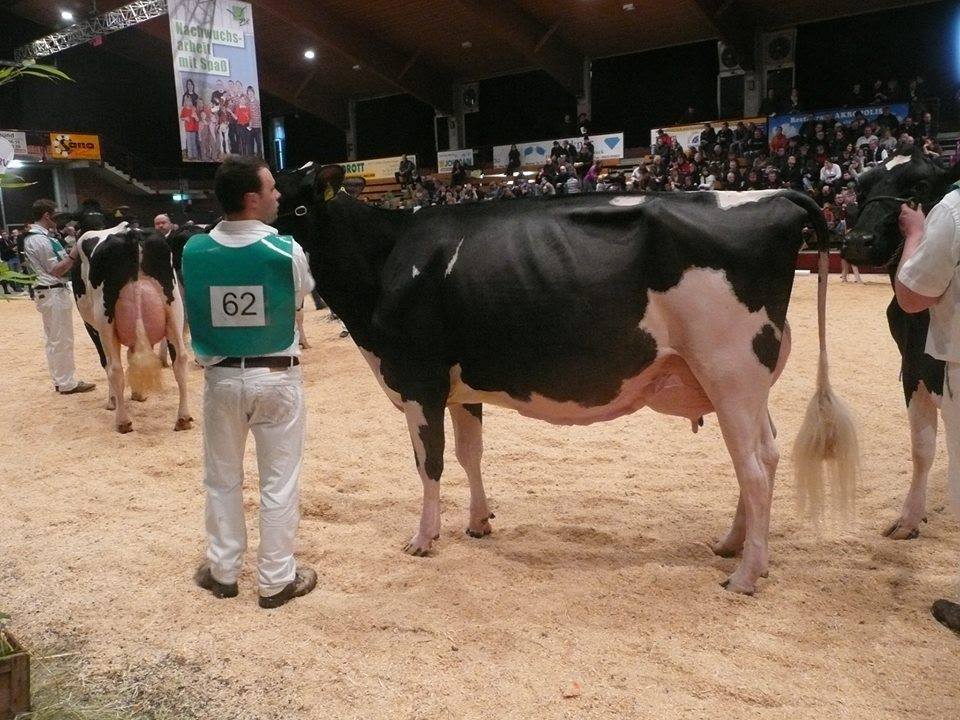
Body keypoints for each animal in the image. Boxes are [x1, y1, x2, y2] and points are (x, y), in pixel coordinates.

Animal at [73, 222, 193, 433]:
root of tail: (131, 233)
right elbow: (133, 356)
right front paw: (138, 393)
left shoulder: (91, 327)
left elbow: (107, 363)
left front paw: (113, 400)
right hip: (174, 308)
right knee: (180, 360)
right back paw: (183, 418)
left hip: (105, 319)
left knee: (114, 367)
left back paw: (122, 421)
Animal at [276, 164, 858, 595]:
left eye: (299, 207)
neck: (387, 259)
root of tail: (776, 196)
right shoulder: (461, 386)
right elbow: (470, 454)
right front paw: (479, 522)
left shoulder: (419, 381)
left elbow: (431, 463)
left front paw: (423, 538)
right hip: (746, 383)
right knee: (765, 455)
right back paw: (732, 545)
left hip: (730, 371)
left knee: (754, 468)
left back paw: (745, 575)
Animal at [842, 145, 960, 539]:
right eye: (861, 189)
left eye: (919, 185)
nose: (857, 241)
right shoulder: (912, 368)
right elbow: (922, 446)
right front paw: (908, 519)